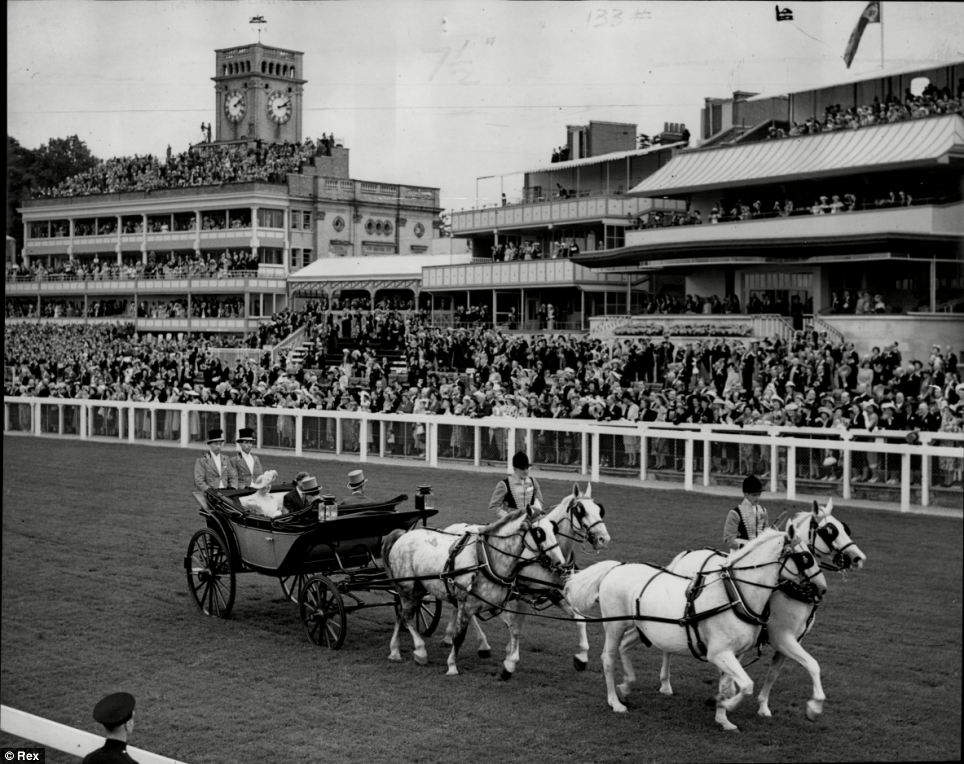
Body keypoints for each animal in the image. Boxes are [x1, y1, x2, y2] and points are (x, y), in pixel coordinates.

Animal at [384, 508, 564, 676]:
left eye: (553, 528)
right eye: (539, 533)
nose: (560, 563)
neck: (486, 561)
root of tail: (402, 535)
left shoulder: (495, 605)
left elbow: (514, 629)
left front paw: (510, 663)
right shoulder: (465, 604)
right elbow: (459, 637)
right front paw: (452, 666)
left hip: (418, 590)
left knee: (401, 615)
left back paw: (394, 651)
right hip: (407, 588)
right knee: (406, 616)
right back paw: (420, 651)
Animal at [442, 486, 612, 676]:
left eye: (599, 510)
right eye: (580, 510)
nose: (603, 539)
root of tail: (455, 527)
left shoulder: (556, 594)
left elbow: (579, 619)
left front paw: (581, 657)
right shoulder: (521, 595)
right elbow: (516, 627)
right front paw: (510, 660)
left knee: (458, 607)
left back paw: (454, 638)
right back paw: (479, 644)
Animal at [564, 524, 828, 728]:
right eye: (805, 558)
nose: (822, 588)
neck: (736, 595)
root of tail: (616, 566)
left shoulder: (735, 654)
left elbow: (730, 685)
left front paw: (723, 718)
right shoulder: (720, 653)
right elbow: (746, 686)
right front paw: (724, 704)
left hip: (641, 627)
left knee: (625, 648)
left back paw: (627, 685)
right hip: (614, 626)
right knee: (608, 658)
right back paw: (615, 701)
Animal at [660, 498, 868, 720]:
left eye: (844, 527)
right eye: (829, 531)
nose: (858, 558)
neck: (789, 589)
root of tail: (686, 554)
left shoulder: (791, 640)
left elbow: (774, 673)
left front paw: (762, 706)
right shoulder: (782, 637)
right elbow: (812, 664)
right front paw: (814, 707)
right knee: (668, 647)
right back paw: (666, 684)